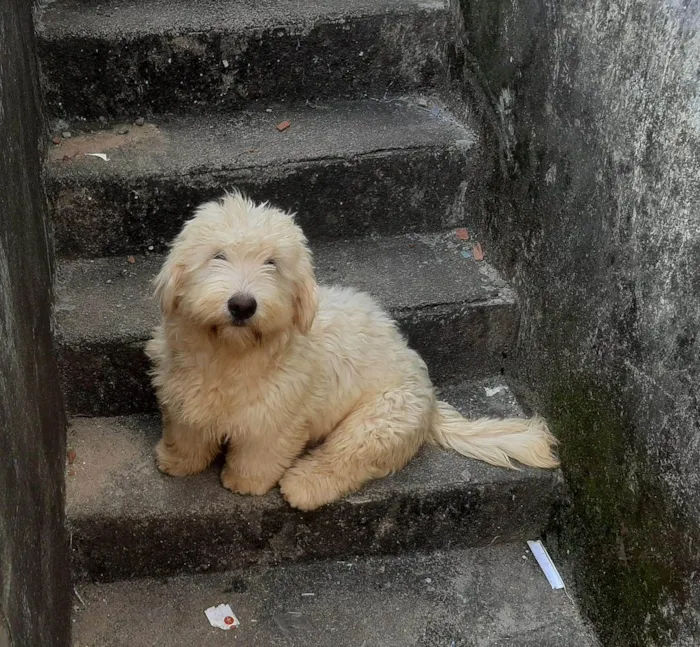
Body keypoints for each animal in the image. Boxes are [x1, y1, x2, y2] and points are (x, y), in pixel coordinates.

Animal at [148, 192, 556, 512]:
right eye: (218, 256)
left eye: (272, 264)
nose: (242, 305)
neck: (231, 354)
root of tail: (431, 400)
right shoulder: (183, 398)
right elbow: (188, 433)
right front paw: (177, 460)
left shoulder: (277, 418)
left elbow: (260, 454)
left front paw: (243, 482)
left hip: (378, 421)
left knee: (346, 458)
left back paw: (303, 484)